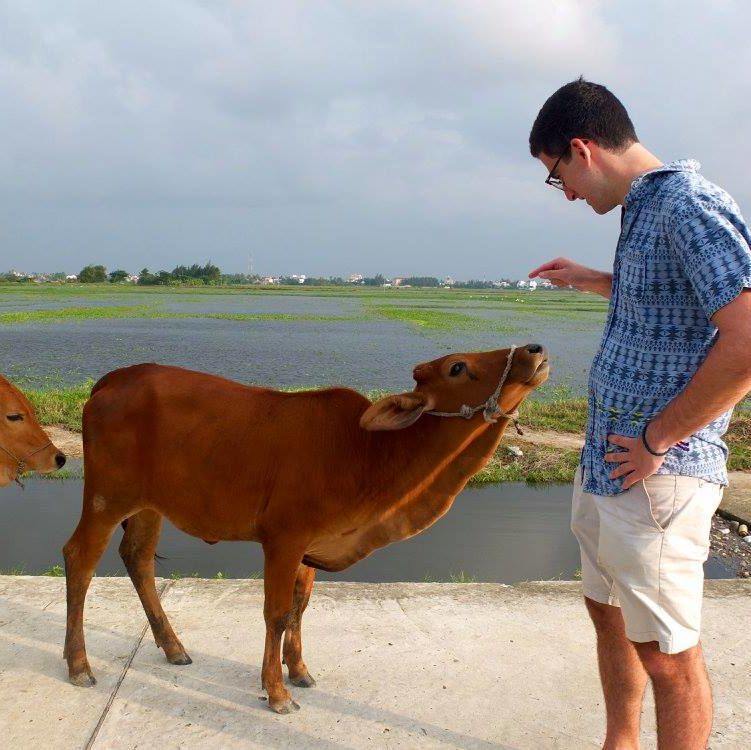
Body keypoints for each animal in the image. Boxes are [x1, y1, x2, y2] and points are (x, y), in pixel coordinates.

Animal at [63, 344, 548, 712]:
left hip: (149, 506)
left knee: (138, 559)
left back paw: (173, 647)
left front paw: (299, 672)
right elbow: (276, 614)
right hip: (106, 499)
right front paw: (276, 692)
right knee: (79, 560)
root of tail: (114, 378)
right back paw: (79, 665)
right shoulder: (283, 541)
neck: (367, 451)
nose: (534, 349)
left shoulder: (310, 547)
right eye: (458, 367)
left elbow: (300, 608)